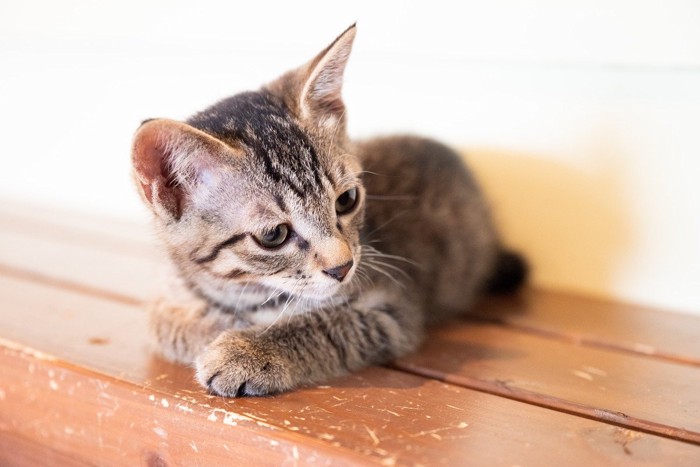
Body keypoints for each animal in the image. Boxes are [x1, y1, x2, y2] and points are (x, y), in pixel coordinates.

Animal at [131, 24, 524, 398]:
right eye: (273, 235)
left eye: (346, 199)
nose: (343, 267)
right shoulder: (170, 297)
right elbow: (169, 323)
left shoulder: (391, 308)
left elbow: (325, 326)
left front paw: (249, 349)